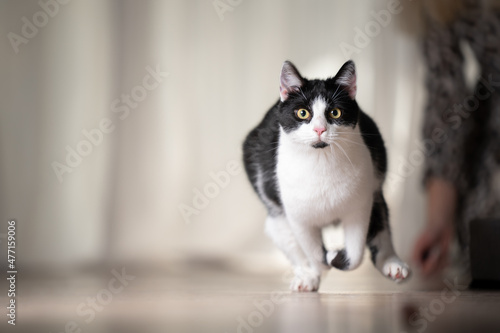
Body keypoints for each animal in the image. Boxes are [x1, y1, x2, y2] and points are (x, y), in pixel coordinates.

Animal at [242, 59, 410, 290]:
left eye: (335, 113)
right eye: (302, 113)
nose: (320, 129)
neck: (321, 162)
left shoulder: (359, 207)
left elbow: (355, 254)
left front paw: (336, 257)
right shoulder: (298, 218)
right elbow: (313, 254)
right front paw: (320, 266)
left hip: (375, 188)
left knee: (381, 225)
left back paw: (393, 263)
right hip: (274, 211)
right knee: (290, 242)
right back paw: (307, 276)